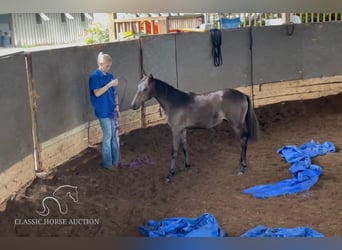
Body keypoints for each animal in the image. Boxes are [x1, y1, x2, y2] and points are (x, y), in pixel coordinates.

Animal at [132, 73, 260, 182]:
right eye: (137, 87)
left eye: (145, 89)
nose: (133, 105)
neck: (174, 101)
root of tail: (243, 95)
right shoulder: (182, 130)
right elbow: (185, 147)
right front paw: (186, 166)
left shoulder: (176, 131)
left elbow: (174, 151)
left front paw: (170, 174)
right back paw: (241, 163)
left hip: (236, 125)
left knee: (243, 140)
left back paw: (242, 167)